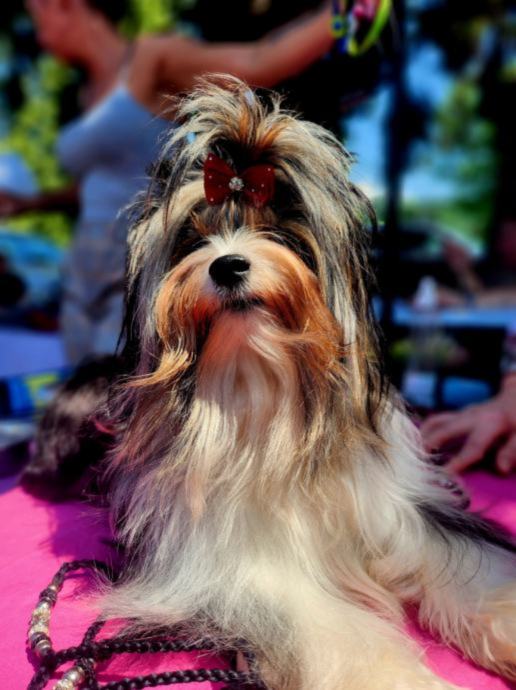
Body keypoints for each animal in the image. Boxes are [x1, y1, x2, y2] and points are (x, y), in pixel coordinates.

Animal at [34, 75, 516, 689]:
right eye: (193, 240)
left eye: (280, 228)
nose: (227, 265)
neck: (260, 384)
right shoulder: (242, 570)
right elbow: (327, 623)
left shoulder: (404, 510)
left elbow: (473, 564)